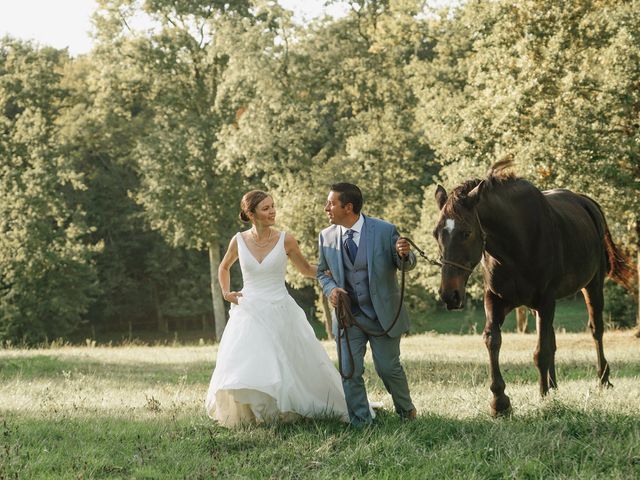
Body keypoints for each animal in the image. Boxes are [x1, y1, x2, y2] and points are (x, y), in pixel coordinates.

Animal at [432, 161, 632, 416]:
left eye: (466, 232)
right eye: (436, 233)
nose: (450, 295)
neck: (515, 245)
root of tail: (587, 203)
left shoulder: (546, 301)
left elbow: (541, 352)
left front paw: (542, 396)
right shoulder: (496, 299)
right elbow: (493, 340)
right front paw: (500, 401)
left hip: (592, 286)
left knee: (596, 330)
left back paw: (602, 379)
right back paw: (555, 386)